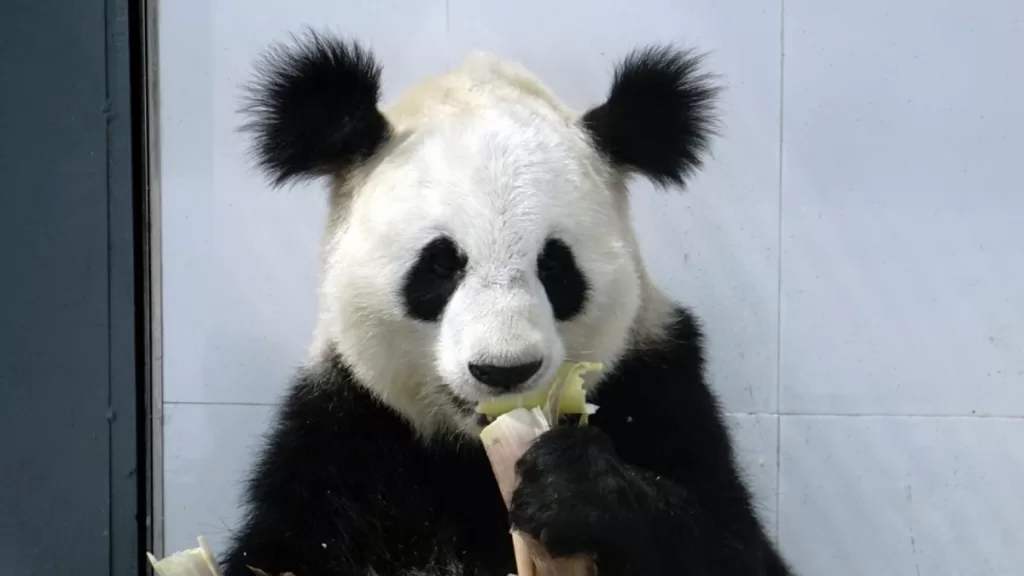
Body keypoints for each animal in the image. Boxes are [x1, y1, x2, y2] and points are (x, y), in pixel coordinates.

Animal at [222, 29, 794, 576]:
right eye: (440, 265)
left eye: (555, 266)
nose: (504, 371)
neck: (471, 452)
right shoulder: (343, 433)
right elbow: (284, 550)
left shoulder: (659, 381)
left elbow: (728, 542)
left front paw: (569, 488)